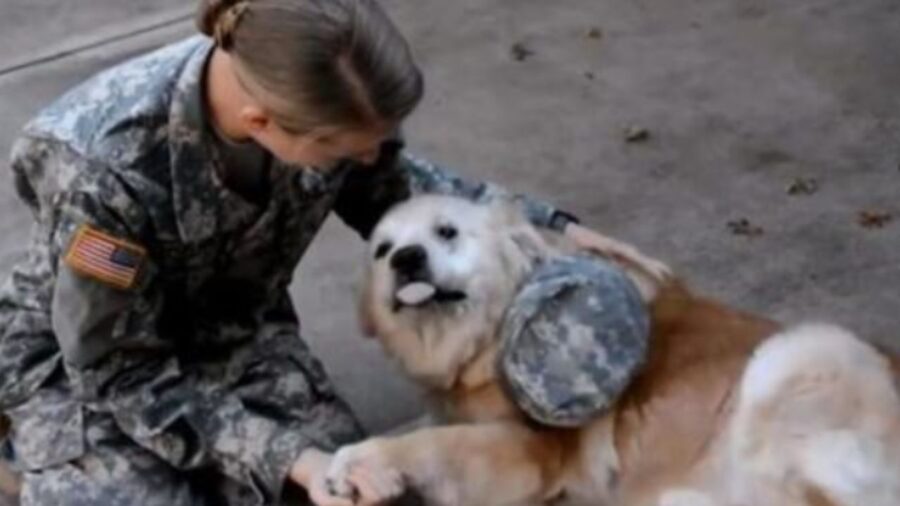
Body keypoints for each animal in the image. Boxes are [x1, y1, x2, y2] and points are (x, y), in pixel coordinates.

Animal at [326, 195, 900, 506]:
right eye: (382, 250)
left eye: (447, 231)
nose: (406, 259)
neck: (487, 331)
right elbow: (425, 429)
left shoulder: (534, 451)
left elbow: (432, 444)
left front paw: (355, 460)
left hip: (794, 356)